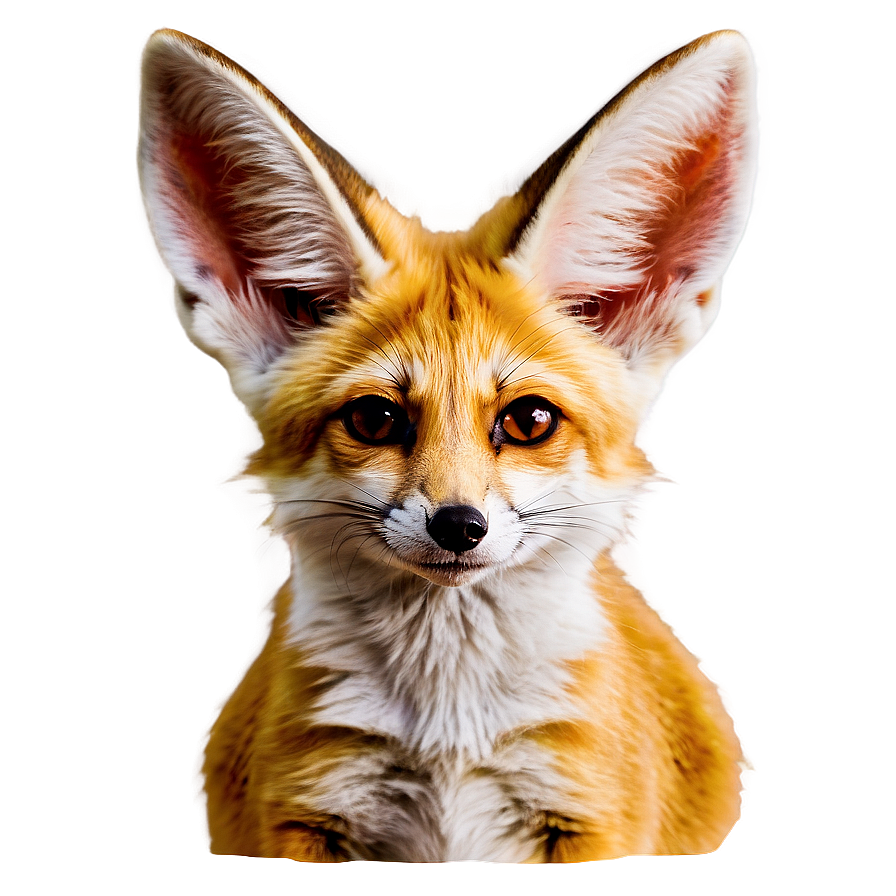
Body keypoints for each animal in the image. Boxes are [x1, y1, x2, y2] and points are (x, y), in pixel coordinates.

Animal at [138, 29, 757, 863]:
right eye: (375, 420)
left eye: (529, 421)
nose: (459, 526)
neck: (447, 739)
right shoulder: (299, 809)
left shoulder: (590, 814)